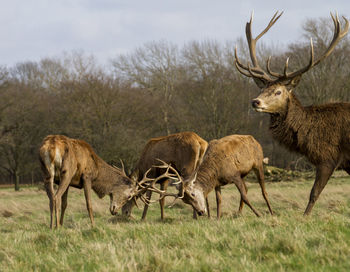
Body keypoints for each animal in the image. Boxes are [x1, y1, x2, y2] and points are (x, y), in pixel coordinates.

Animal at [235, 11, 350, 215]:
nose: (255, 101)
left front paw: (305, 217)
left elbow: (313, 193)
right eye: (262, 88)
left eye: (278, 91)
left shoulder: (329, 157)